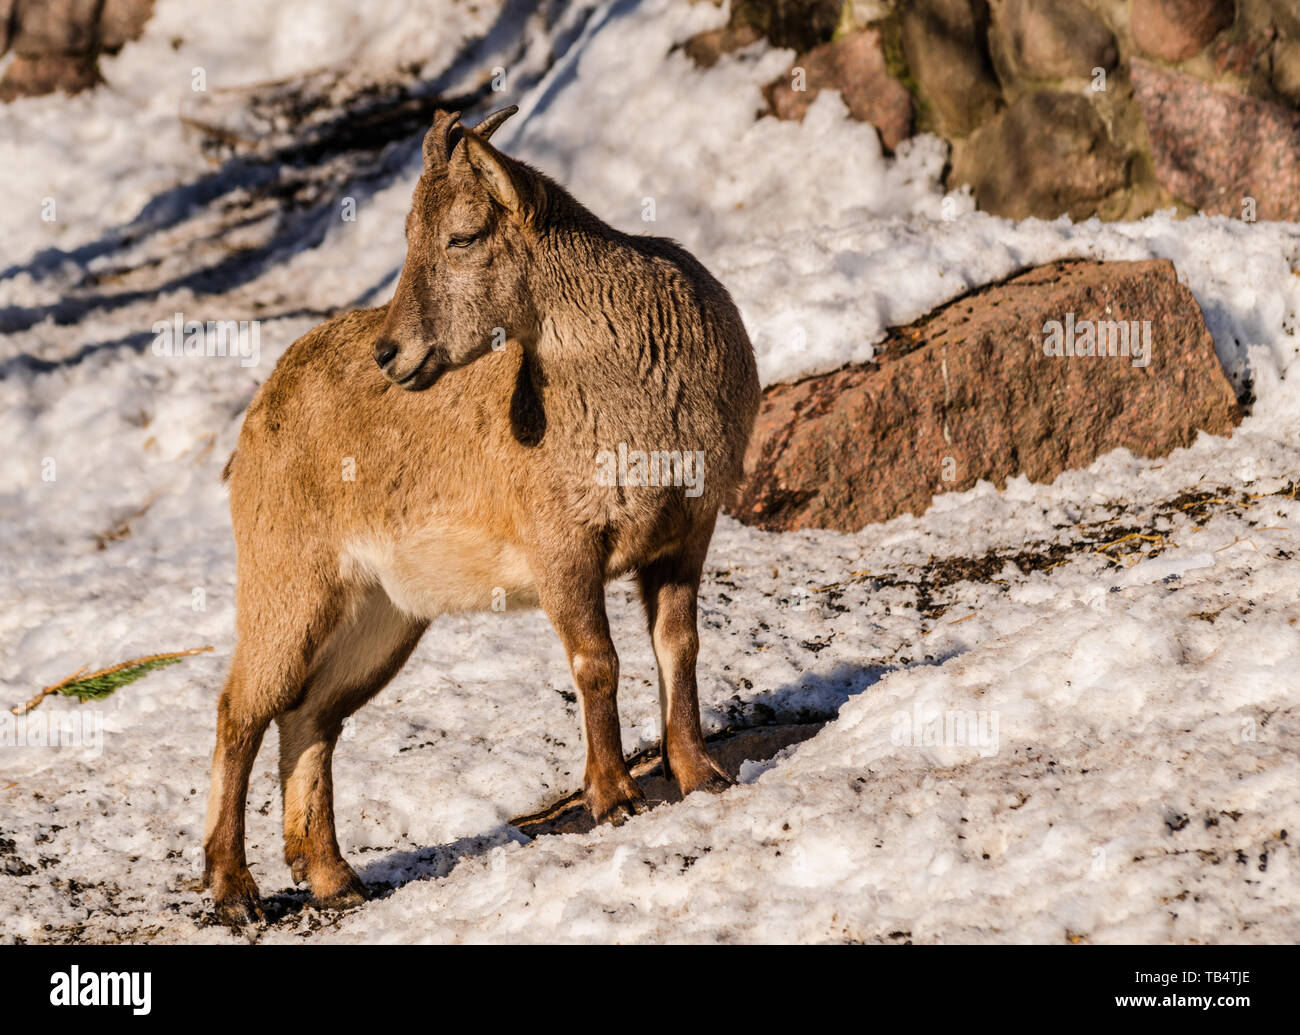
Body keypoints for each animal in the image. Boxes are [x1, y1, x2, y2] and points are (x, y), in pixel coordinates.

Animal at [204, 106, 760, 924]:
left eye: (461, 235)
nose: (391, 354)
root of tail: (255, 421)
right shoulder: (563, 545)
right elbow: (597, 662)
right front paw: (615, 796)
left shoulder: (684, 534)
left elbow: (678, 648)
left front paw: (699, 774)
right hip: (288, 580)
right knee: (240, 710)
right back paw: (233, 888)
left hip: (382, 615)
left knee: (310, 716)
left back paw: (334, 876)